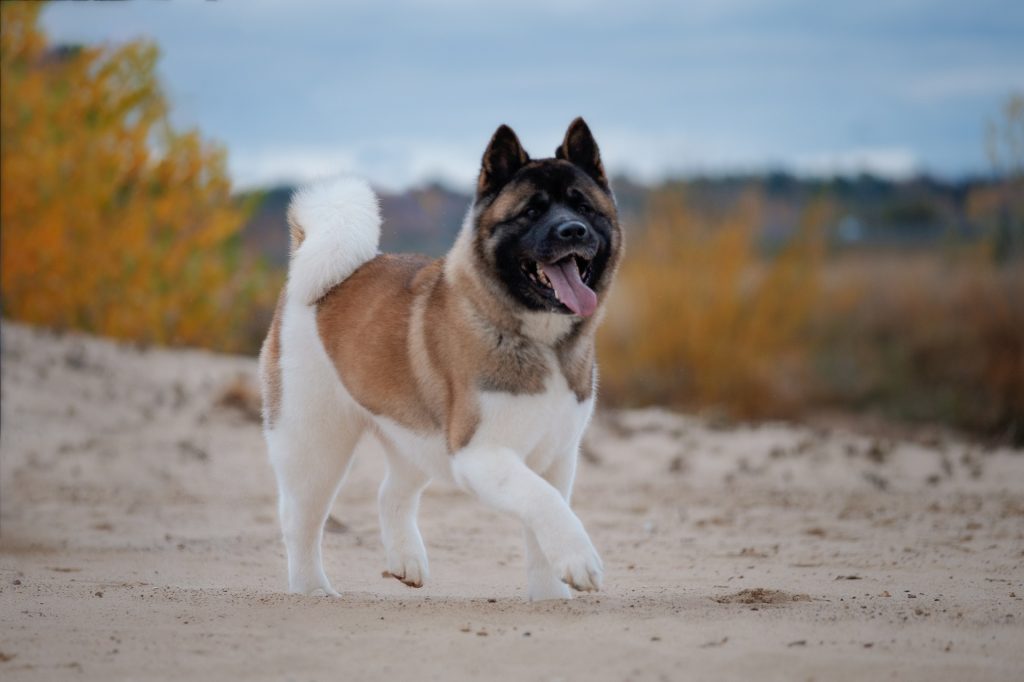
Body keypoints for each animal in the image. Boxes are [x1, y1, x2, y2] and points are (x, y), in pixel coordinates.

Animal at [256, 118, 622, 602]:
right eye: (531, 211)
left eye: (583, 206)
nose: (573, 231)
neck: (538, 338)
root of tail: (307, 270)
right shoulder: (480, 455)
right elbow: (543, 502)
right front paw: (580, 560)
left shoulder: (555, 457)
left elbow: (542, 522)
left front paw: (549, 595)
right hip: (313, 444)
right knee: (300, 520)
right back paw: (312, 589)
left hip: (414, 436)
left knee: (390, 493)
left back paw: (405, 561)